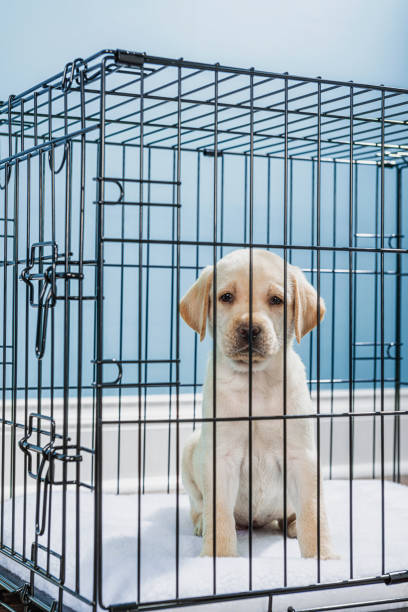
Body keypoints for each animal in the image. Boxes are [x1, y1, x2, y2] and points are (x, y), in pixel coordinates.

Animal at [180, 249, 336, 560]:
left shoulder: (301, 457)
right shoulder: (221, 458)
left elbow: (314, 514)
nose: (249, 329)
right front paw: (219, 559)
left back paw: (292, 525)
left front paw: (323, 559)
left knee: (293, 515)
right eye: (226, 297)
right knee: (200, 507)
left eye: (276, 300)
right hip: (189, 451)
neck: (255, 382)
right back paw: (201, 524)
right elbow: (219, 516)